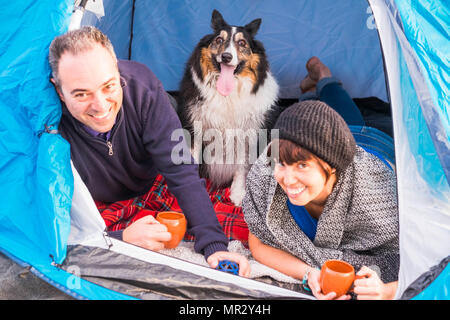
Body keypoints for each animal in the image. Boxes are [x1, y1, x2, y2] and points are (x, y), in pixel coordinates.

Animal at [178, 10, 278, 206]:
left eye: (242, 43)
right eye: (218, 40)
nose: (226, 57)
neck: (227, 95)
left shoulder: (248, 133)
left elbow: (242, 164)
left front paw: (238, 194)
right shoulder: (195, 127)